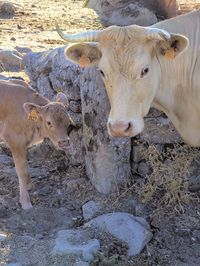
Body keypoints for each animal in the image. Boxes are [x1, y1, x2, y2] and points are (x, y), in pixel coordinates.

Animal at [0, 79, 75, 210]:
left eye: (68, 121)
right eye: (49, 122)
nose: (64, 142)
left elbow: (26, 167)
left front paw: (29, 185)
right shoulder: (15, 141)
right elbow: (22, 171)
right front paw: (25, 202)